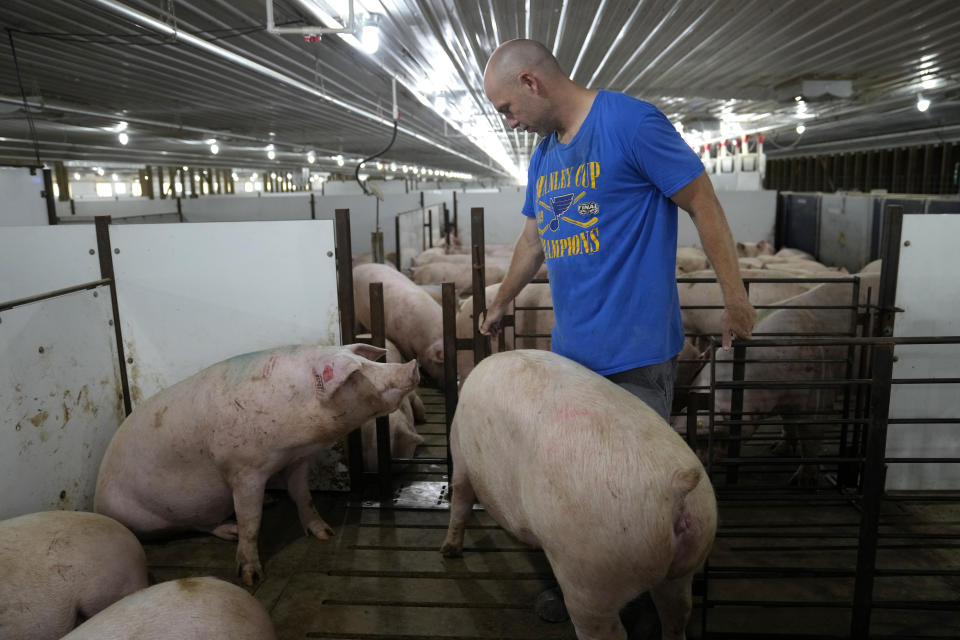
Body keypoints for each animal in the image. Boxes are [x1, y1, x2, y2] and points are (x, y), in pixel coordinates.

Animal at [94, 344, 420, 584]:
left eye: (363, 361)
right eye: (355, 374)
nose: (412, 365)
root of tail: (97, 500)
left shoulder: (297, 459)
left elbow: (303, 496)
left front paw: (325, 533)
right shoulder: (243, 470)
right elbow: (250, 520)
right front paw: (251, 577)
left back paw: (270, 501)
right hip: (161, 516)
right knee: (197, 523)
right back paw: (233, 531)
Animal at [440, 350, 712, 640]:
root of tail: (676, 487)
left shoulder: (460, 453)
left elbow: (460, 501)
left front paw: (449, 551)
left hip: (591, 576)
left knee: (610, 631)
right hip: (686, 563)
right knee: (677, 615)